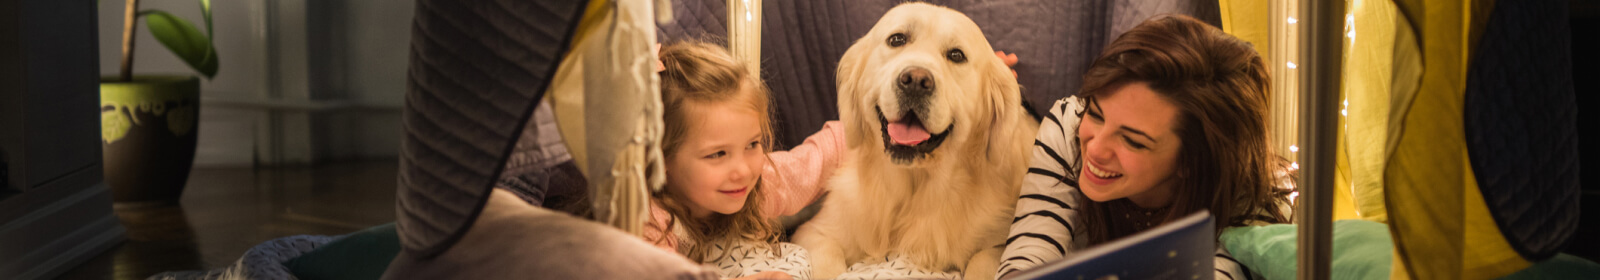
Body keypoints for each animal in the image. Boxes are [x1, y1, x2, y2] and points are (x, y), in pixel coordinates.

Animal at [796, 2, 1043, 280]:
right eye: (897, 39)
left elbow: (982, 259)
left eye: (956, 55)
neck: (914, 192)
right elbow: (827, 260)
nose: (915, 80)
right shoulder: (816, 230)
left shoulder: (1003, 240)